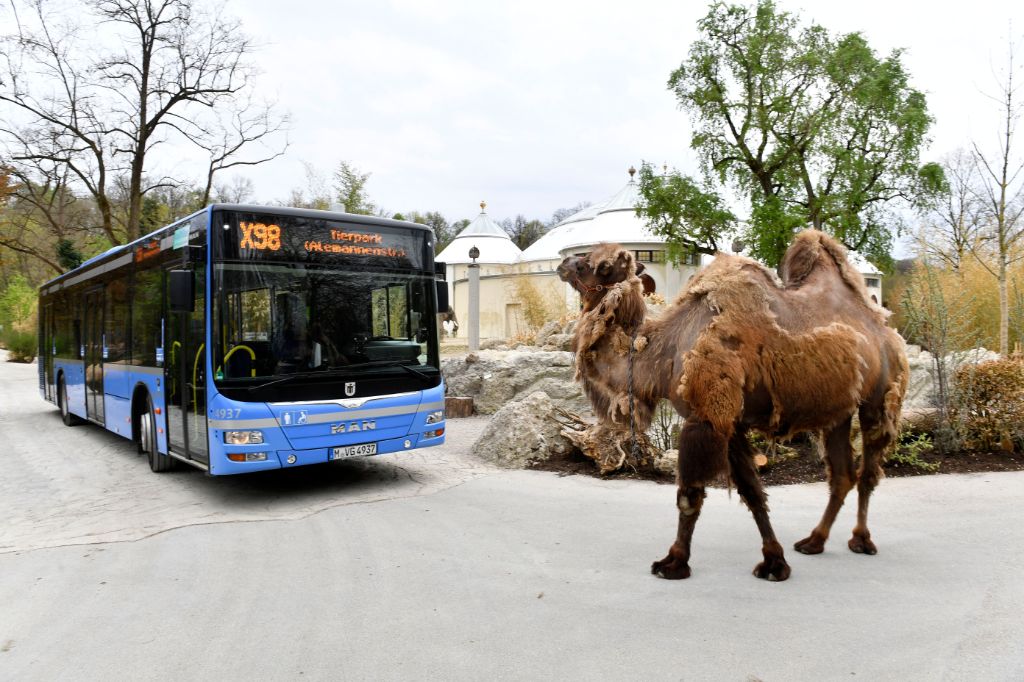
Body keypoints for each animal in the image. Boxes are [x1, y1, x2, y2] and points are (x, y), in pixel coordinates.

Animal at [557, 229, 909, 577]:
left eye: (598, 265)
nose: (563, 264)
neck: (665, 351)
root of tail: (884, 327)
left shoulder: (706, 417)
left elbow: (689, 494)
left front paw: (674, 562)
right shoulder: (731, 422)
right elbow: (752, 491)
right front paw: (774, 561)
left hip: (878, 399)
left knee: (868, 470)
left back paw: (861, 540)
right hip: (838, 411)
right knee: (841, 475)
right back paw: (814, 541)